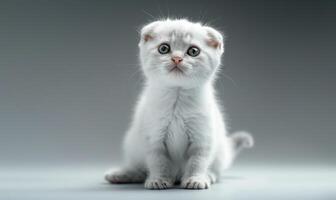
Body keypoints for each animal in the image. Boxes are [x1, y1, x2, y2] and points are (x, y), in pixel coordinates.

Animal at [103, 18, 253, 189]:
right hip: (132, 144)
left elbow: (197, 162)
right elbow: (158, 162)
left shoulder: (202, 138)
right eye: (164, 48)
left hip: (220, 150)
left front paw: (196, 179)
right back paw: (121, 175)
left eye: (193, 51)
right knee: (140, 169)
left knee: (215, 169)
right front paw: (158, 180)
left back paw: (209, 176)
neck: (177, 99)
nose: (176, 58)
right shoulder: (153, 137)